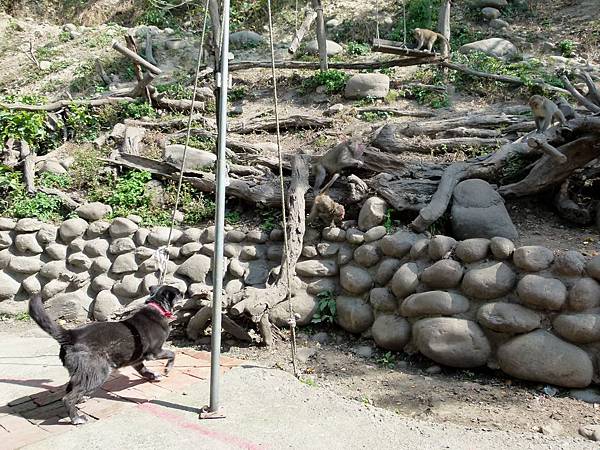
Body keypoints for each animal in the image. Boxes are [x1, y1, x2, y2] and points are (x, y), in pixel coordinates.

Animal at [28, 284, 182, 426]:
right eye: (179, 292)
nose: (184, 293)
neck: (157, 307)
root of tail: (71, 335)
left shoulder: (136, 360)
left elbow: (143, 370)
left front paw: (153, 376)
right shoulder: (154, 352)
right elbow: (172, 354)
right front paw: (167, 369)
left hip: (82, 372)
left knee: (70, 388)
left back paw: (81, 401)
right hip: (99, 372)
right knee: (68, 398)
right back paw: (77, 418)